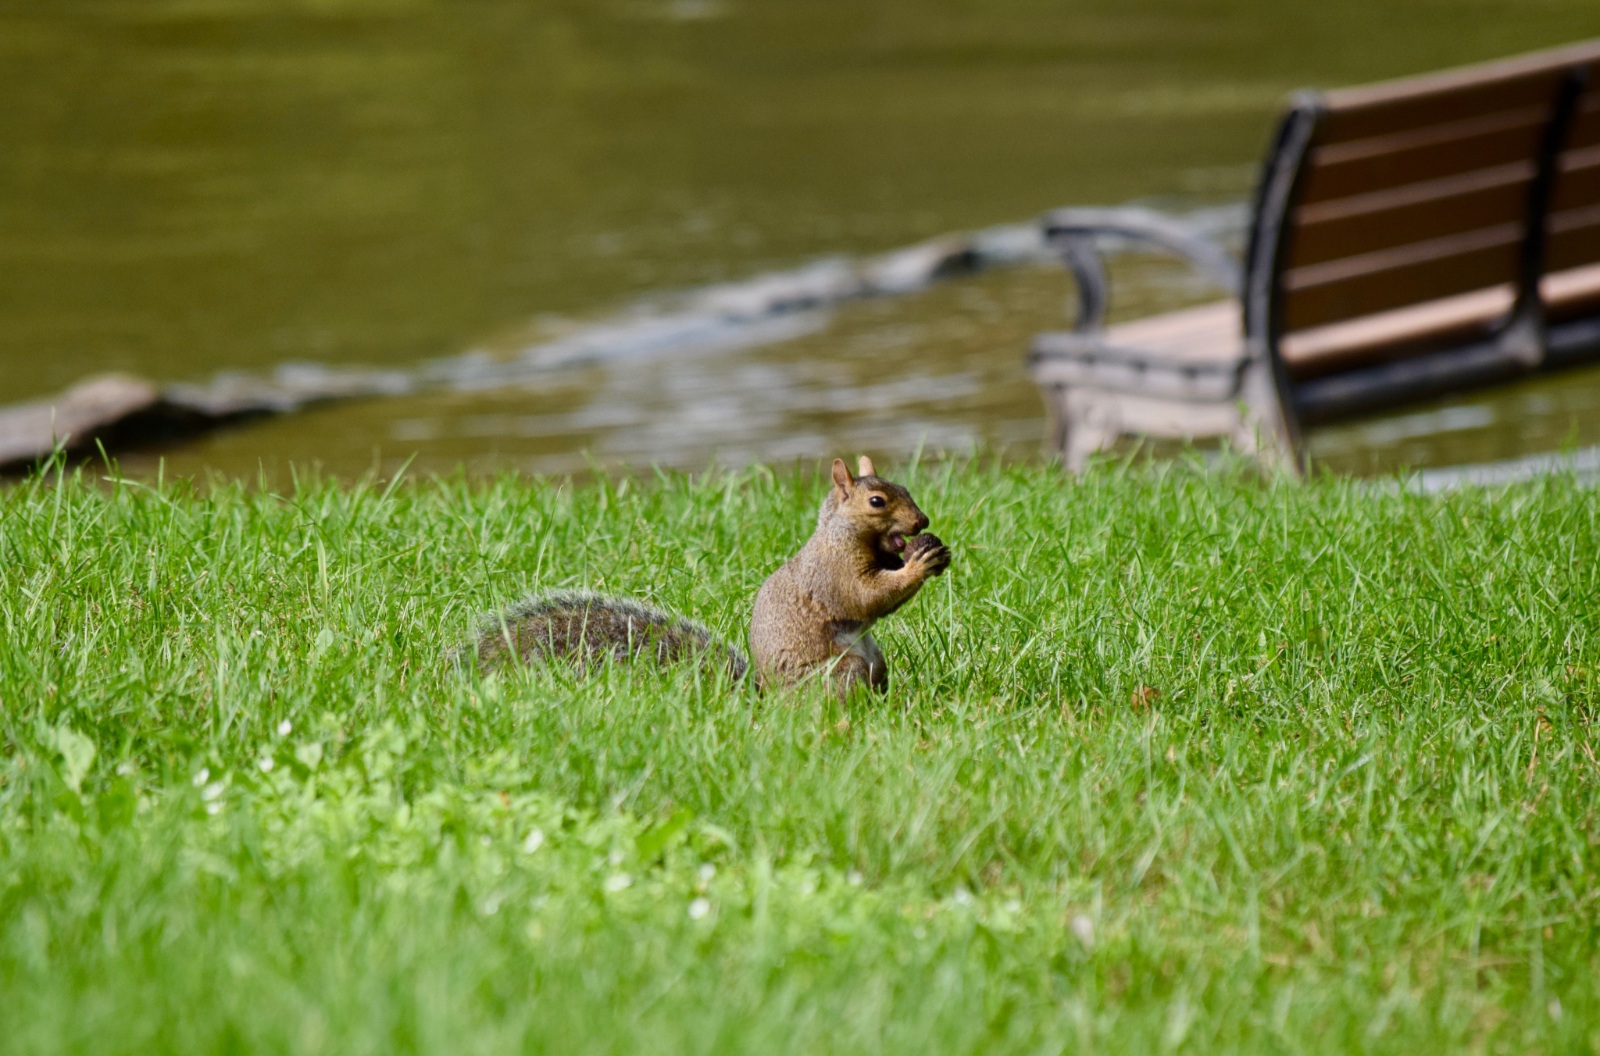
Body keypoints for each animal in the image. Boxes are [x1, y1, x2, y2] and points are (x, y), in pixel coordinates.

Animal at [467, 451, 947, 694]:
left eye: (904, 487)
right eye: (877, 502)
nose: (921, 521)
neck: (840, 535)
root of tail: (770, 701)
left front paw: (925, 553)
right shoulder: (833, 573)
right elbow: (867, 598)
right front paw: (917, 565)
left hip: (873, 661)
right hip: (841, 670)